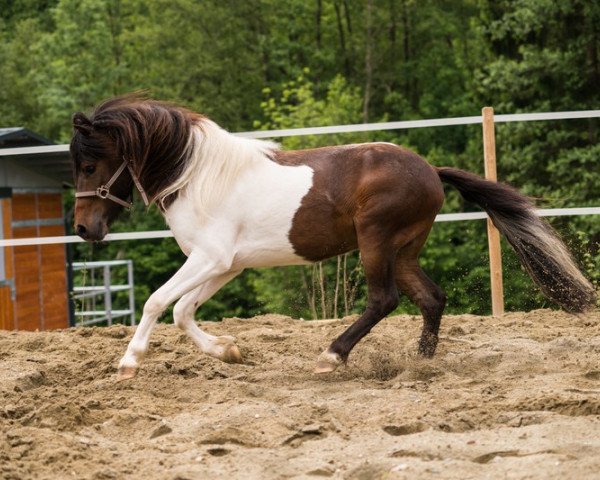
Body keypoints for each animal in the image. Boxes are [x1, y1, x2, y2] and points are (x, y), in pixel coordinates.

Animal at [70, 94, 596, 378]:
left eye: (90, 165)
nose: (82, 228)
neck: (198, 177)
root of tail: (430, 170)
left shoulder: (209, 258)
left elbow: (158, 302)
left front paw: (129, 363)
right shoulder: (226, 264)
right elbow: (181, 311)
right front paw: (230, 351)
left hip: (376, 241)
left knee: (384, 300)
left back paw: (332, 356)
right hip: (404, 249)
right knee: (431, 297)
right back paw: (420, 363)